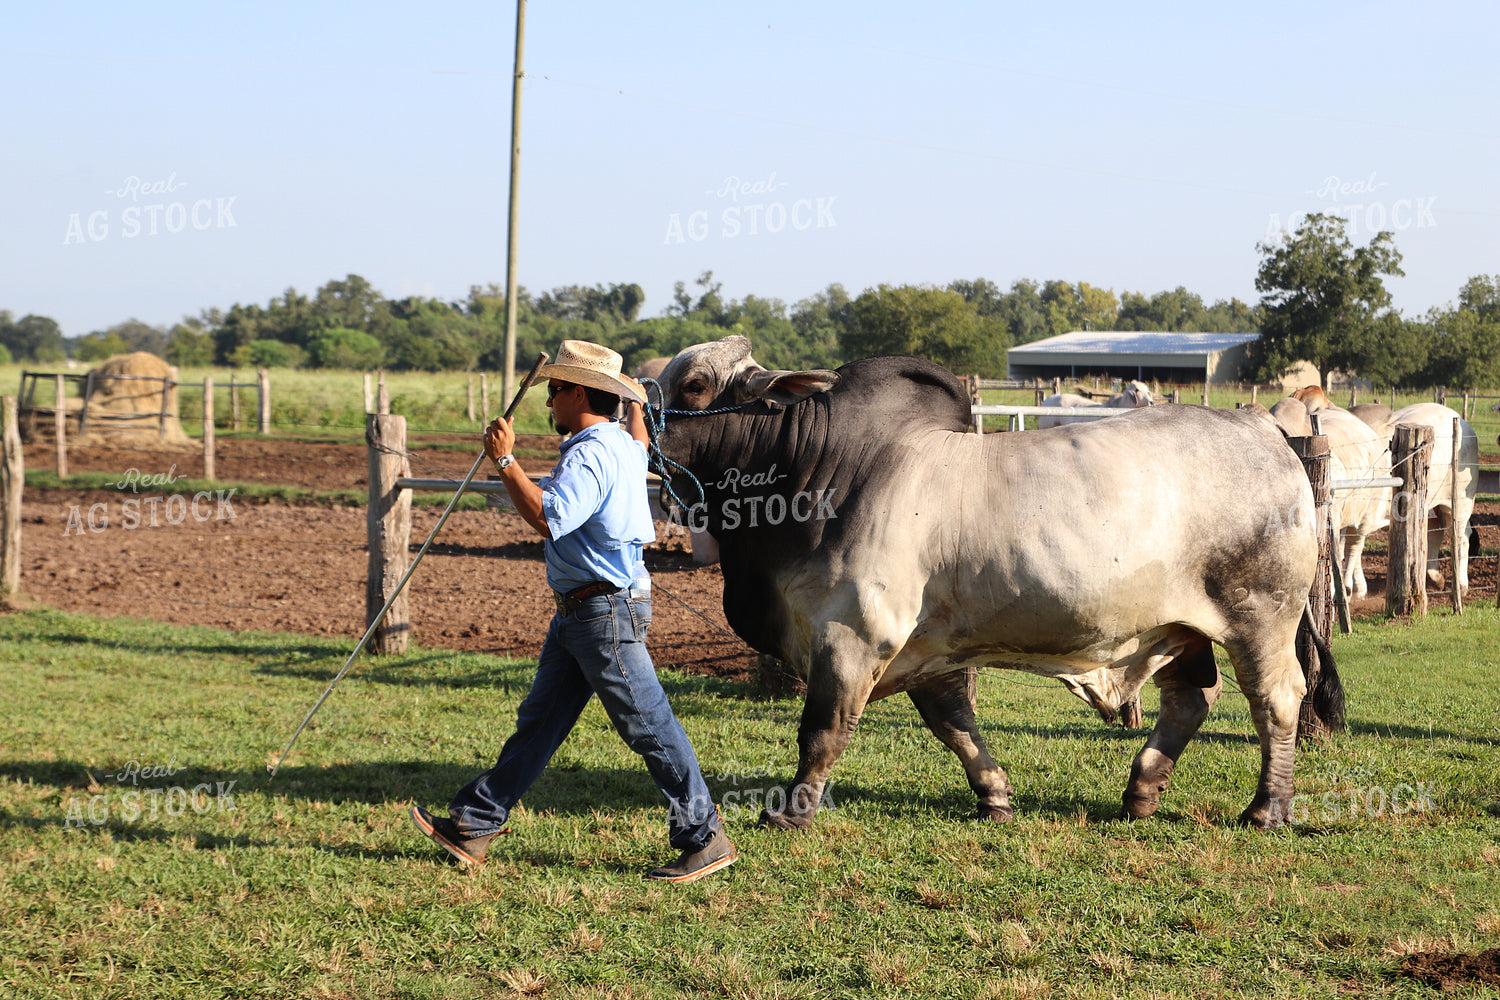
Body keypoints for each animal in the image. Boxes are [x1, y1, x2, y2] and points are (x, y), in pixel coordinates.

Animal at [652, 336, 1342, 831]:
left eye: (694, 384)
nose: (638, 416)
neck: (819, 472)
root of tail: (1262, 428)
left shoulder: (852, 637)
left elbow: (821, 731)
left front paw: (790, 812)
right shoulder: (926, 648)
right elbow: (953, 722)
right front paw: (995, 797)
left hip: (1260, 617)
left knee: (1276, 699)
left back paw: (1266, 809)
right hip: (1179, 626)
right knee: (1190, 698)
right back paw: (1141, 791)